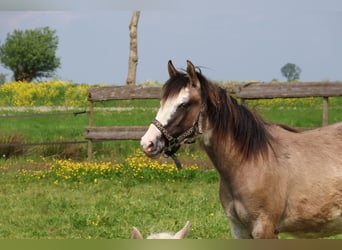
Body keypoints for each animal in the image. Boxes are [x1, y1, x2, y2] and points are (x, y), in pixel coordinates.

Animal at [140, 59, 342, 239]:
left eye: (183, 104)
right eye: (161, 102)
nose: (147, 143)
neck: (250, 162)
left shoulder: (264, 230)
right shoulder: (239, 230)